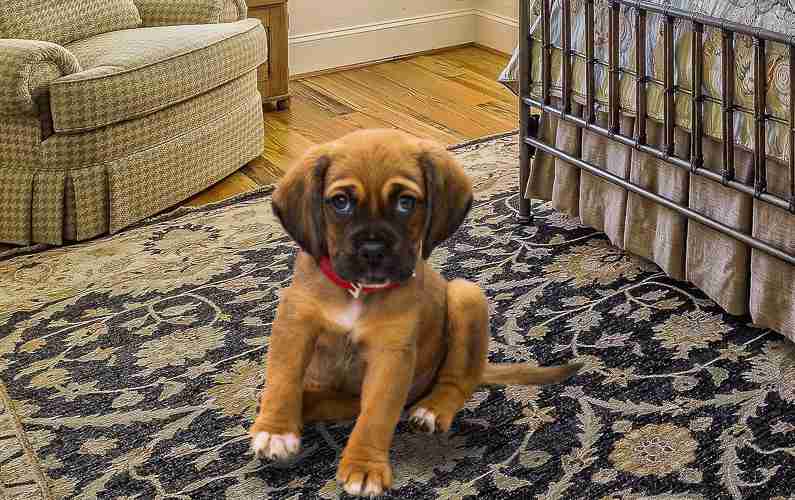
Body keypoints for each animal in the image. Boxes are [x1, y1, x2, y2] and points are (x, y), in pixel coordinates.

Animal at [252, 128, 580, 496]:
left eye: (405, 203)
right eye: (340, 202)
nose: (373, 250)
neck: (357, 292)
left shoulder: (391, 353)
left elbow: (377, 414)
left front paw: (364, 467)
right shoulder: (294, 324)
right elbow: (283, 378)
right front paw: (276, 430)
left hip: (466, 295)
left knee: (459, 379)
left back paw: (433, 409)